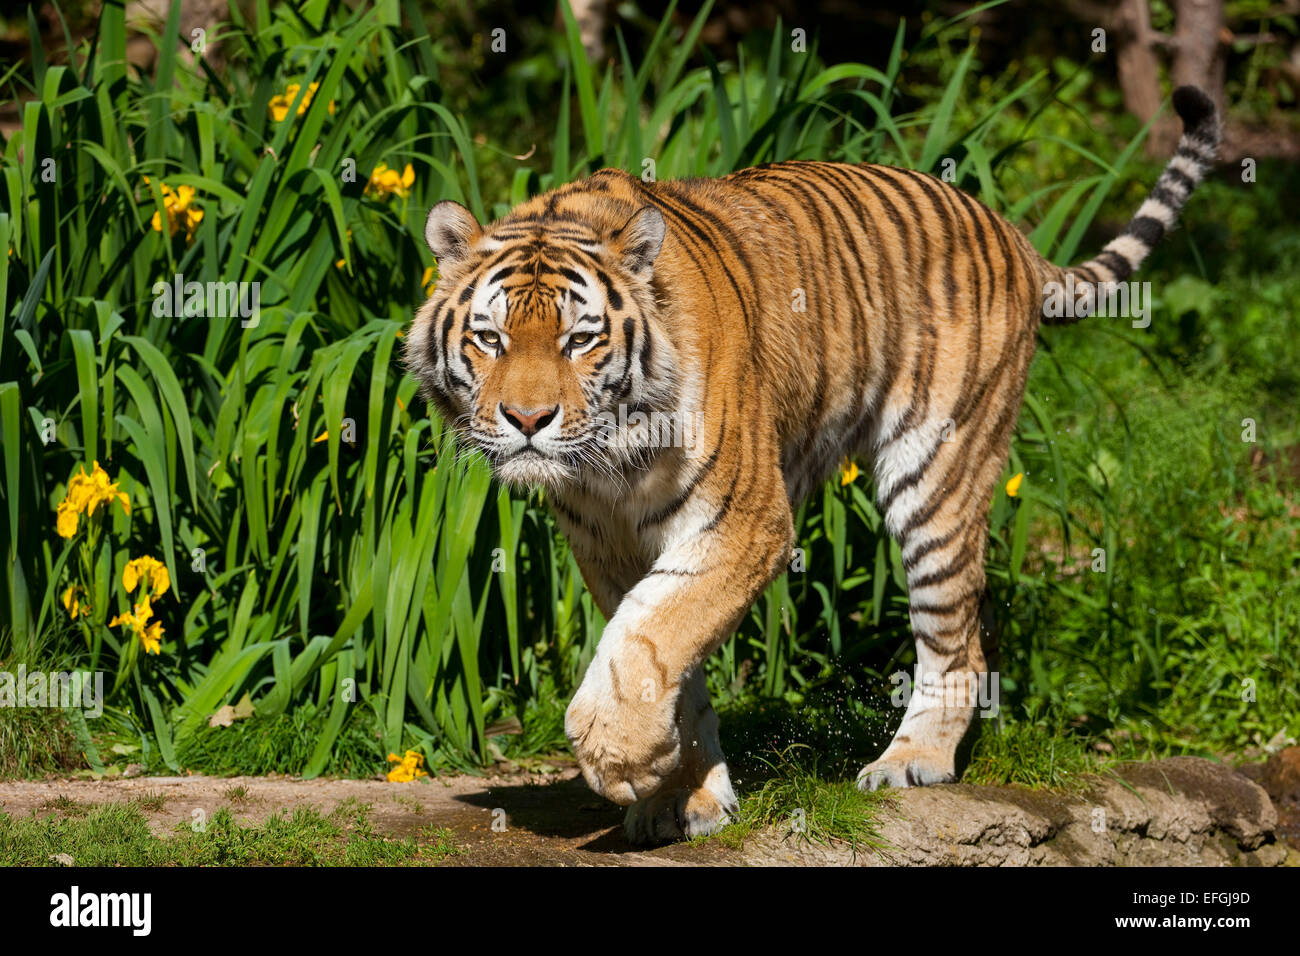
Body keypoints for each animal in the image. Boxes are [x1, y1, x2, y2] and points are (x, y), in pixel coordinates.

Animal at [403, 85, 1216, 842]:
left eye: (580, 340)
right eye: (490, 338)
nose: (528, 421)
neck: (608, 465)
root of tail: (1005, 229)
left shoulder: (745, 519)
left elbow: (652, 634)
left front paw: (621, 754)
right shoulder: (606, 543)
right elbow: (672, 658)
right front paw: (680, 795)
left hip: (937, 472)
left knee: (956, 637)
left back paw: (910, 761)